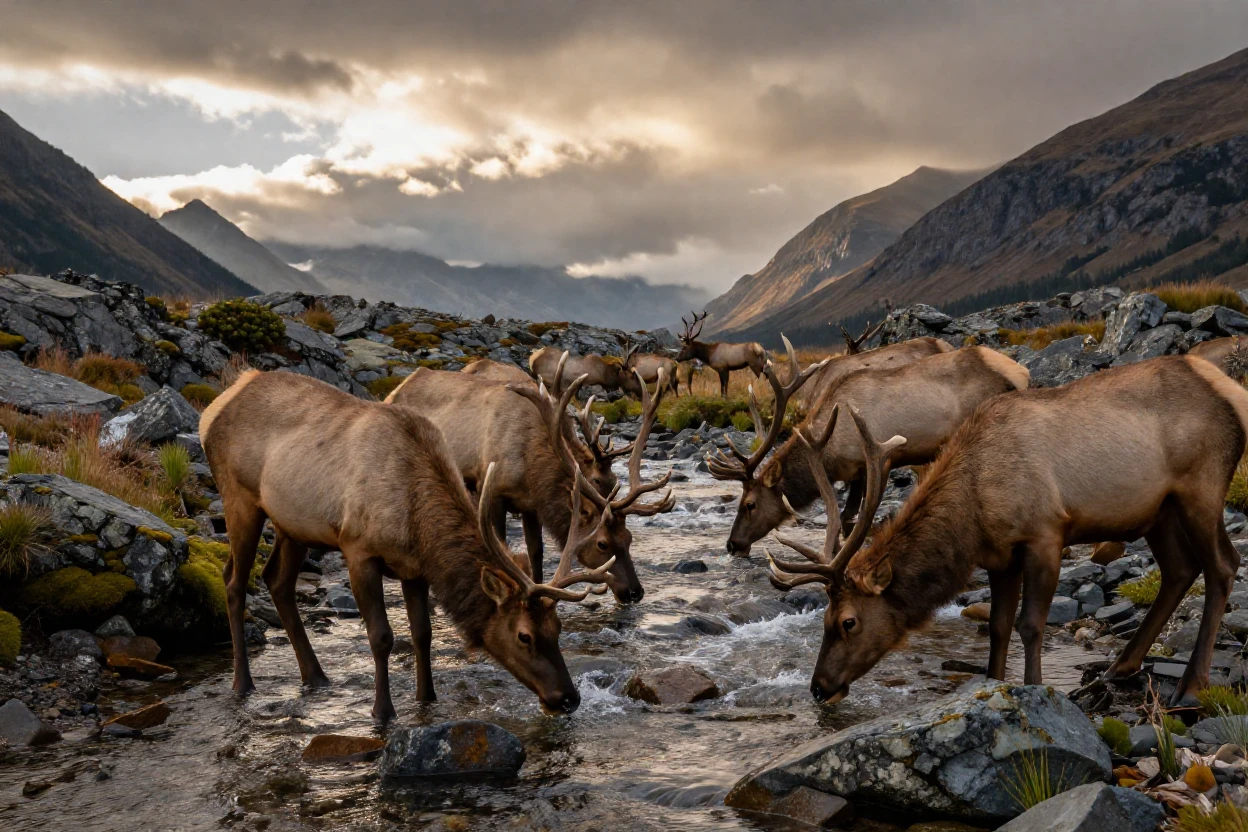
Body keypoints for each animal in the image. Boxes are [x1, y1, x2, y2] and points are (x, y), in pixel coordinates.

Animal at [199, 369, 617, 721]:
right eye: (524, 635)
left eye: (558, 627)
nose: (568, 697)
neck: (417, 522)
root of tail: (215, 408)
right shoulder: (358, 550)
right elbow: (382, 636)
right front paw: (383, 712)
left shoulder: (414, 568)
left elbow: (422, 634)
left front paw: (426, 698)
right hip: (240, 498)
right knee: (234, 580)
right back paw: (243, 683)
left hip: (293, 525)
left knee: (277, 580)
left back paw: (315, 676)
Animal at [386, 355, 673, 603]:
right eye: (602, 543)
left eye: (629, 538)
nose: (635, 591)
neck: (530, 462)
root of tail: (397, 388)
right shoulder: (492, 492)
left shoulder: (530, 504)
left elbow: (536, 552)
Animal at [710, 344, 1028, 556]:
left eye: (750, 504)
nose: (732, 544)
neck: (831, 450)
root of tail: (1022, 372)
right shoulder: (856, 473)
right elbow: (847, 517)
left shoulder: (877, 460)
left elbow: (848, 519)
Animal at [769, 354, 1248, 707]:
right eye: (823, 620)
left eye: (847, 621)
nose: (818, 687)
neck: (973, 514)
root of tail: (1233, 391)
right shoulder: (1000, 557)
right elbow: (998, 627)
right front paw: (994, 684)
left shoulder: (1046, 534)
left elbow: (1030, 624)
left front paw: (1034, 687)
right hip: (1159, 510)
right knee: (1179, 570)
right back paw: (1121, 666)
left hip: (1202, 487)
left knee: (1224, 565)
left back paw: (1191, 685)